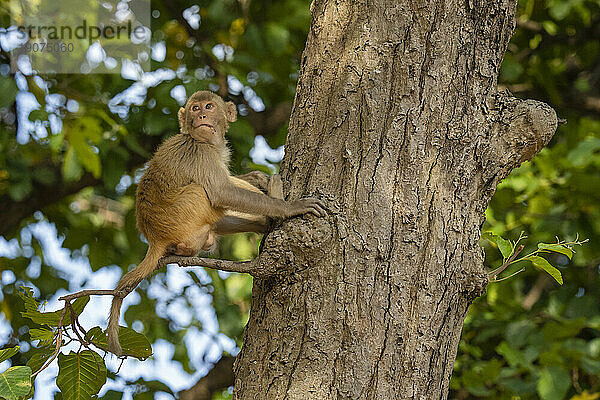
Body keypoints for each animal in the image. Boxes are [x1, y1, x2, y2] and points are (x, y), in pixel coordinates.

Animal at [107, 90, 324, 354]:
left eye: (208, 107)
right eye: (195, 108)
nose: (201, 115)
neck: (204, 142)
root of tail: (155, 238)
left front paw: (257, 180)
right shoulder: (200, 153)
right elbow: (222, 192)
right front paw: (290, 208)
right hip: (185, 214)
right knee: (202, 191)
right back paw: (275, 196)